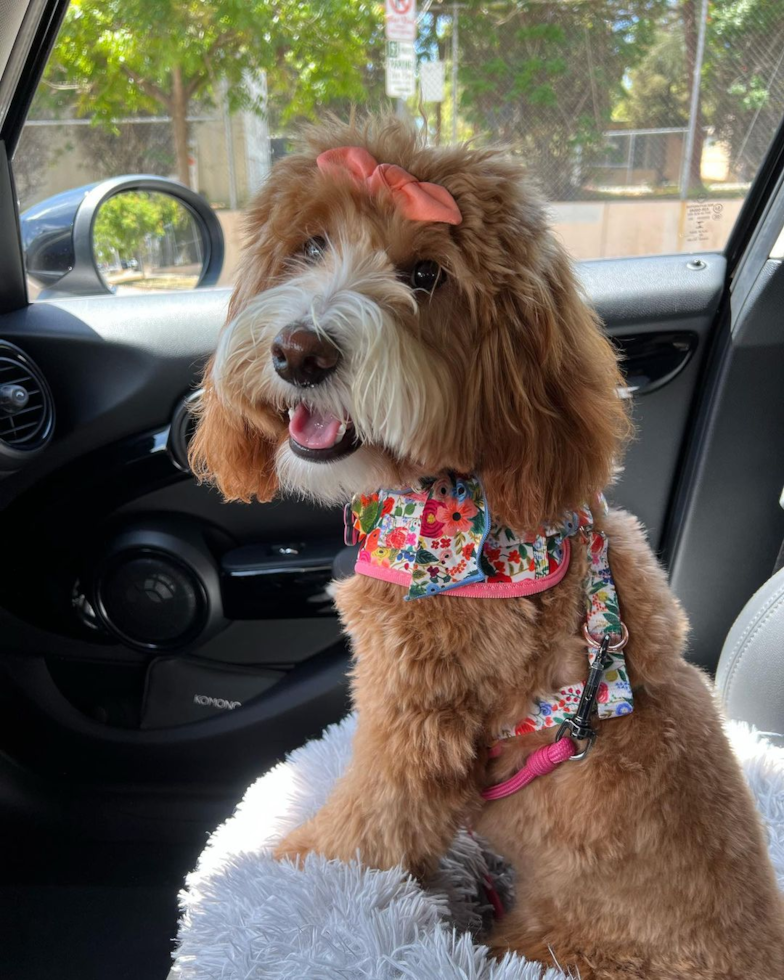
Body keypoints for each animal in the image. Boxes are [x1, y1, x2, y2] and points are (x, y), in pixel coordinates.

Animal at [190, 118, 784, 976]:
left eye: (426, 274)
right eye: (309, 246)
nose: (301, 352)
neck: (456, 500)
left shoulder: (414, 722)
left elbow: (364, 821)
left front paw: (280, 866)